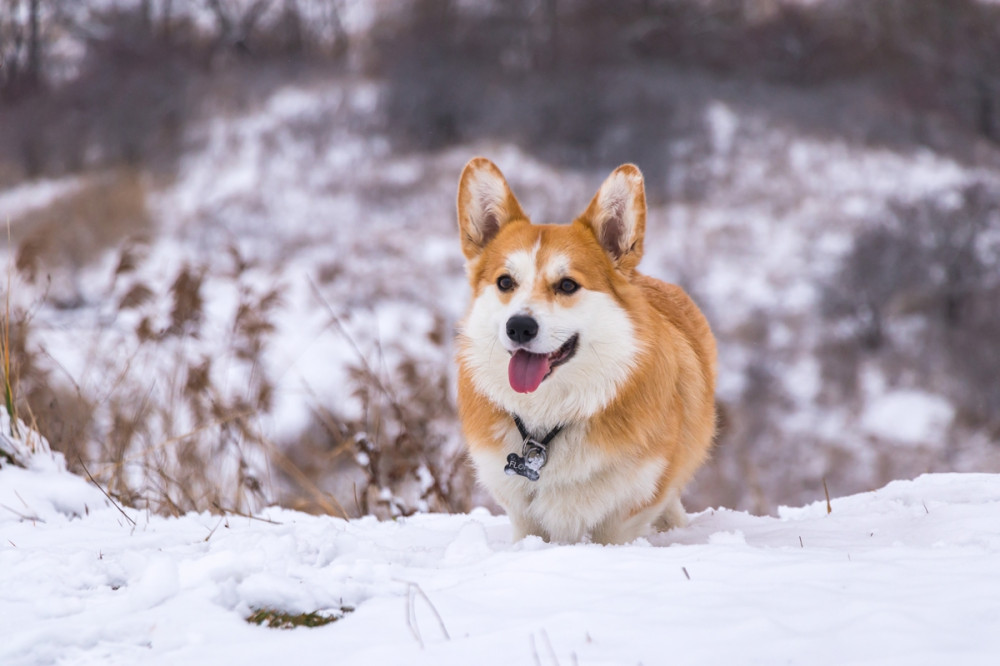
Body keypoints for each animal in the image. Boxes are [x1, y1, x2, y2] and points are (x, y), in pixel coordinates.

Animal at [458, 158, 716, 544]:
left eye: (567, 285)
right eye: (505, 282)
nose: (519, 327)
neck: (549, 420)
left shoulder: (627, 510)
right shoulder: (523, 513)